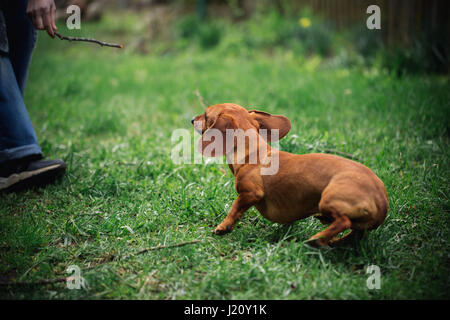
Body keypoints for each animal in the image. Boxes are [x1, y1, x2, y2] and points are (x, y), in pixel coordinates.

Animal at [192, 104, 388, 246]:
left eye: (206, 114)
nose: (192, 119)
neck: (253, 153)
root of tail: (382, 200)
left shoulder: (250, 193)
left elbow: (234, 208)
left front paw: (223, 226)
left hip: (328, 199)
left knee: (344, 222)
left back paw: (317, 238)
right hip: (356, 222)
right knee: (355, 234)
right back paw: (332, 240)